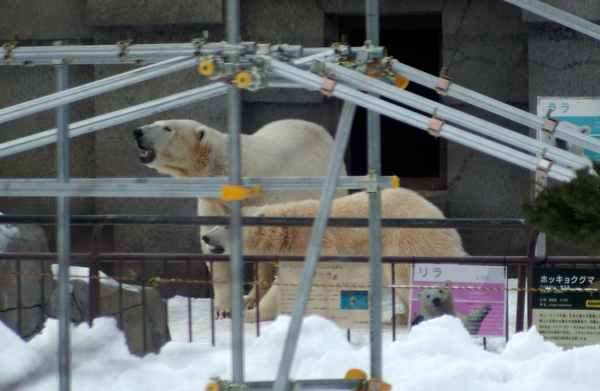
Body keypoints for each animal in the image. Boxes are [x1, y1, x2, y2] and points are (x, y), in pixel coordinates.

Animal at [131, 118, 346, 318]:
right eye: (156, 122)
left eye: (167, 127)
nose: (137, 132)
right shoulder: (213, 204)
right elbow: (217, 249)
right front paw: (223, 308)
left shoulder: (270, 198)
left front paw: (253, 301)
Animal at [199, 188, 466, 324]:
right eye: (218, 221)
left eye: (226, 225)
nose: (206, 237)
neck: (287, 229)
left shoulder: (312, 244)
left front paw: (248, 314)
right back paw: (400, 316)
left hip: (406, 239)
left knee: (404, 276)